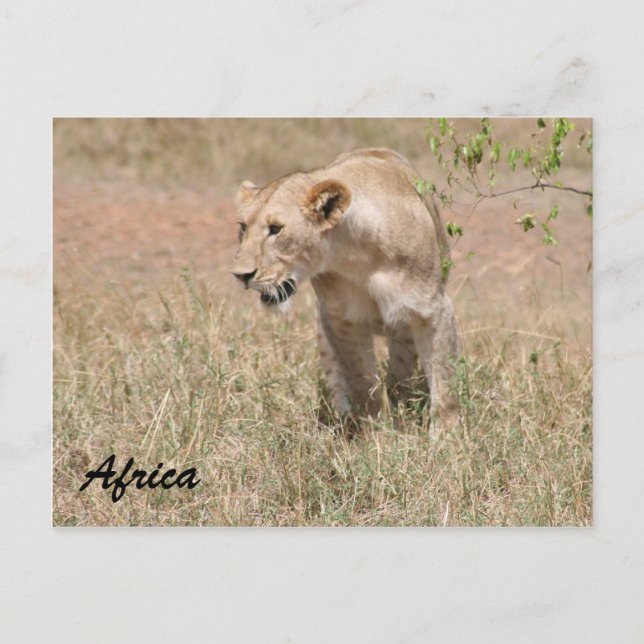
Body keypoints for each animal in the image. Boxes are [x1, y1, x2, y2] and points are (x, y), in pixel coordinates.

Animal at [232, 148, 458, 426]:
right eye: (243, 227)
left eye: (275, 229)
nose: (241, 275)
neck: (356, 256)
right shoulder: (341, 320)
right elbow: (363, 384)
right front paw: (372, 432)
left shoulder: (433, 311)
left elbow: (444, 388)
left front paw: (447, 435)